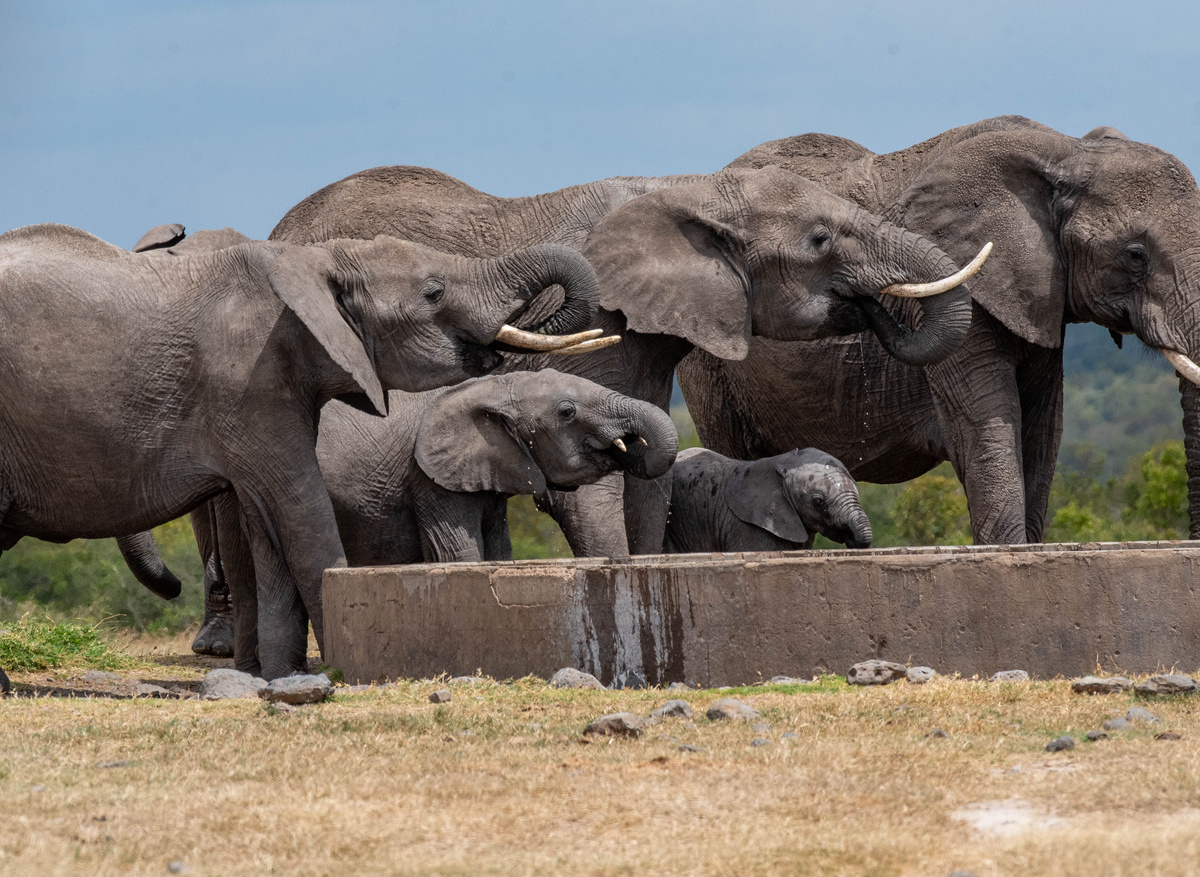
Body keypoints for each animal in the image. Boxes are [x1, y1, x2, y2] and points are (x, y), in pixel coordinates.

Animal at [0, 222, 603, 679]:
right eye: (433, 292)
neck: (315, 263)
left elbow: (267, 526)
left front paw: (283, 676)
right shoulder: (251, 381)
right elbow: (297, 509)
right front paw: (338, 672)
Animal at [678, 116, 1200, 544]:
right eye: (1135, 254)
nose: (862, 301)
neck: (1067, 149)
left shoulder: (1037, 303)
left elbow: (1041, 434)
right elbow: (986, 431)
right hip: (711, 360)